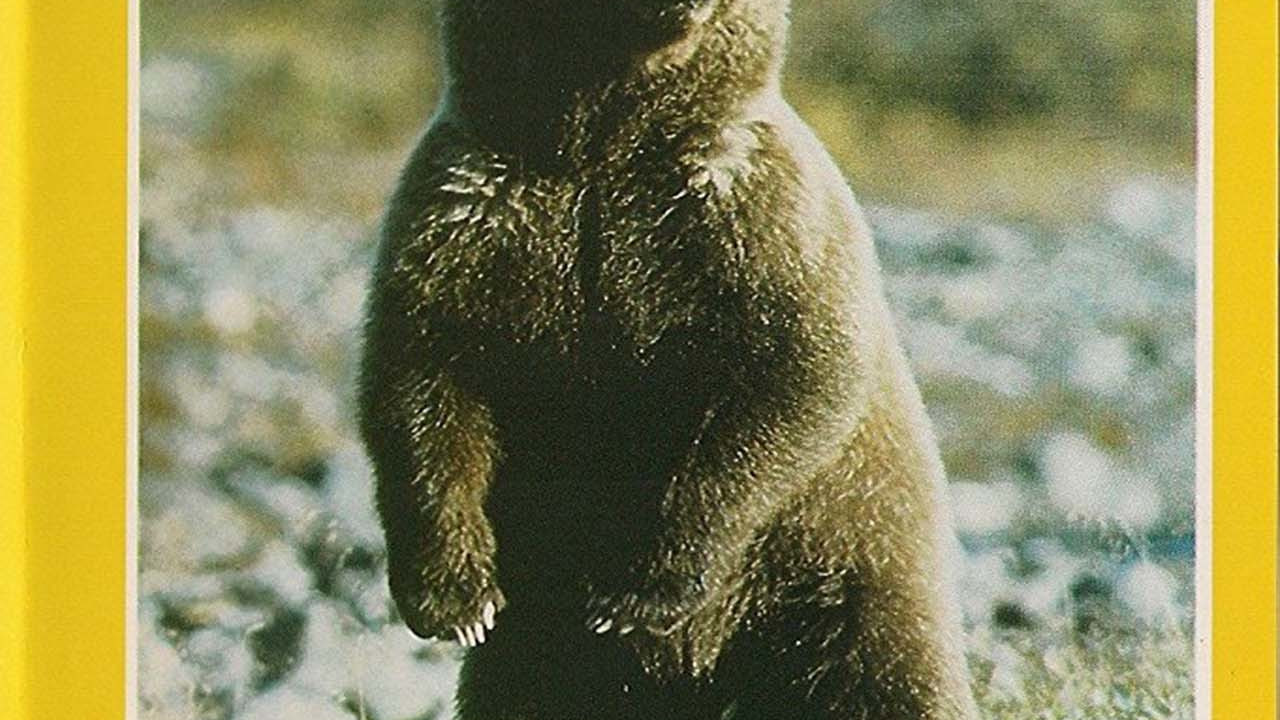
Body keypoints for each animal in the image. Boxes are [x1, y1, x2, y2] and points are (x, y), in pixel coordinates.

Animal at [357, 0, 979, 718]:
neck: (600, 146)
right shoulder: (471, 210)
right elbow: (421, 378)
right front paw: (458, 596)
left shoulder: (752, 214)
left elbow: (795, 377)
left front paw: (638, 591)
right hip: (543, 647)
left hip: (846, 575)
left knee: (882, 679)